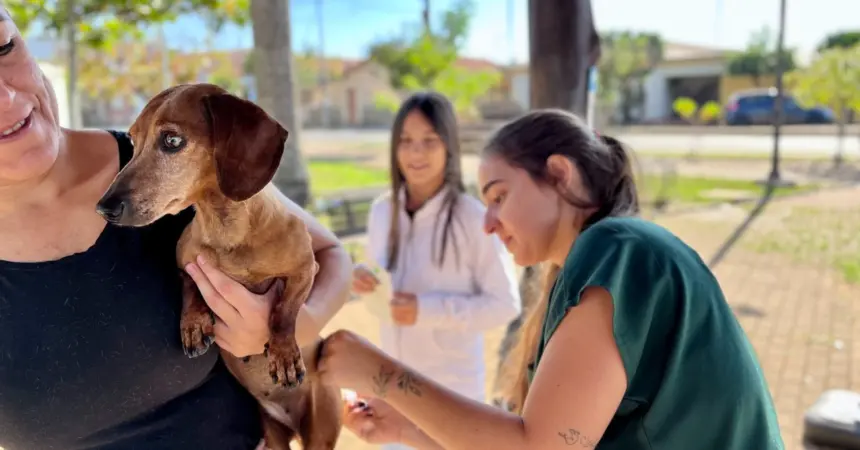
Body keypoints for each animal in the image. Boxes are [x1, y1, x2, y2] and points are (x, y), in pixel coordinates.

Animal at [96, 82, 342, 448]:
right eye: (133, 140)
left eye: (172, 140)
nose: (104, 208)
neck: (226, 232)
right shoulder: (185, 264)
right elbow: (190, 288)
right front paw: (195, 324)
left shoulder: (304, 269)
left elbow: (284, 312)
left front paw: (284, 354)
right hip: (271, 430)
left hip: (320, 426)